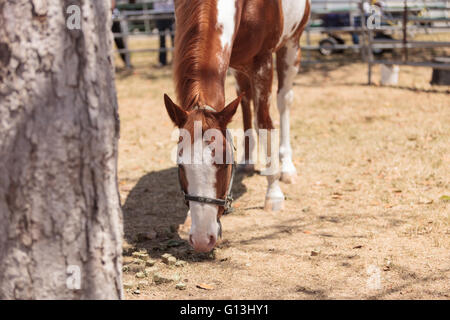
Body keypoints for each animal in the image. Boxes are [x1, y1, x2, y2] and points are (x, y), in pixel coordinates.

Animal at [164, 0, 310, 251]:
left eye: (224, 163)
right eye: (180, 165)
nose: (201, 239)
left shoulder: (263, 60)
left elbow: (265, 123)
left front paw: (273, 194)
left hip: (291, 44)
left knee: (284, 100)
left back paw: (287, 168)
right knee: (245, 99)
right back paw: (249, 162)